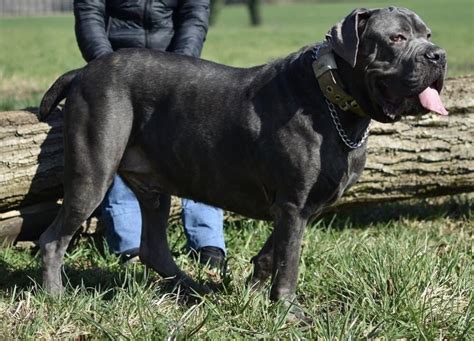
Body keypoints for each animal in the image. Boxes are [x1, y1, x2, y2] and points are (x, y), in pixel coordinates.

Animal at [39, 6, 446, 302]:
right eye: (396, 38)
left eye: (427, 35)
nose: (438, 54)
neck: (334, 100)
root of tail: (83, 72)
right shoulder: (294, 204)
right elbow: (290, 263)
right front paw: (287, 310)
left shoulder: (297, 206)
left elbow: (273, 253)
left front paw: (252, 292)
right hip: (93, 173)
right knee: (53, 239)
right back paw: (57, 296)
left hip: (154, 185)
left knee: (154, 247)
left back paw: (195, 289)